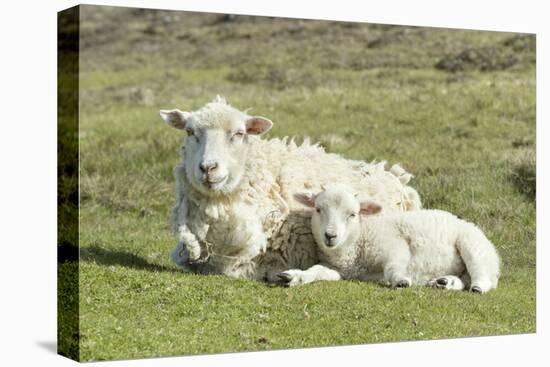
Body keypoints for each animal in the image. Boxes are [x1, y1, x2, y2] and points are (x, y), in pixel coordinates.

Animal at [282, 185, 502, 294]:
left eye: (352, 214)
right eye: (318, 210)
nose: (330, 236)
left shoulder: (394, 244)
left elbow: (392, 267)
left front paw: (400, 280)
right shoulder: (340, 270)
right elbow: (317, 270)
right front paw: (296, 276)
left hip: (472, 245)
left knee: (483, 275)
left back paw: (477, 287)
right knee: (464, 278)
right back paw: (445, 282)